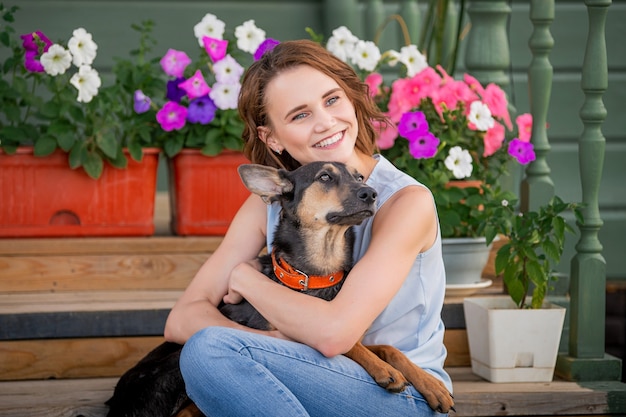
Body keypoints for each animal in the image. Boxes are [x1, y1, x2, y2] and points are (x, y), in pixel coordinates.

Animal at [105, 162, 450, 416]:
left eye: (359, 177)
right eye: (325, 177)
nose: (371, 192)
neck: (314, 275)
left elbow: (387, 348)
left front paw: (431, 384)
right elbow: (354, 347)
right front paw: (385, 371)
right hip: (176, 361)